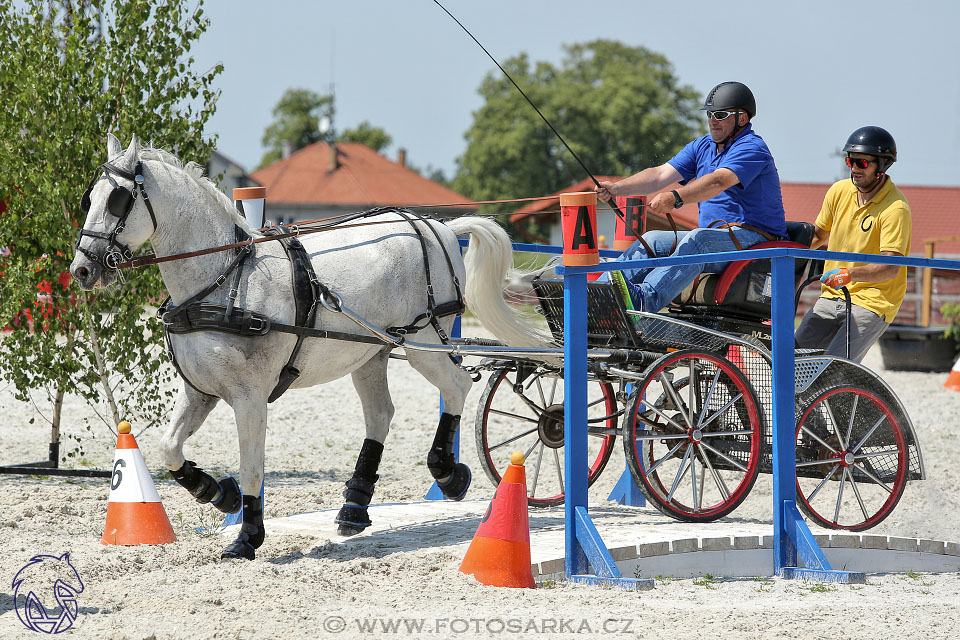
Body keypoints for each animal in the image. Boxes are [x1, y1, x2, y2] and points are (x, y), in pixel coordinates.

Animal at [69, 136, 548, 560]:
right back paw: (354, 507)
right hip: (372, 352)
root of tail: (439, 226)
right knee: (381, 414)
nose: (82, 270)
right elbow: (169, 449)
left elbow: (252, 467)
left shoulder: (249, 397)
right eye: (88, 198)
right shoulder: (199, 391)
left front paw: (247, 537)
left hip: (422, 340)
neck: (225, 279)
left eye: (117, 200)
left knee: (456, 387)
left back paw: (447, 474)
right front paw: (220, 494)